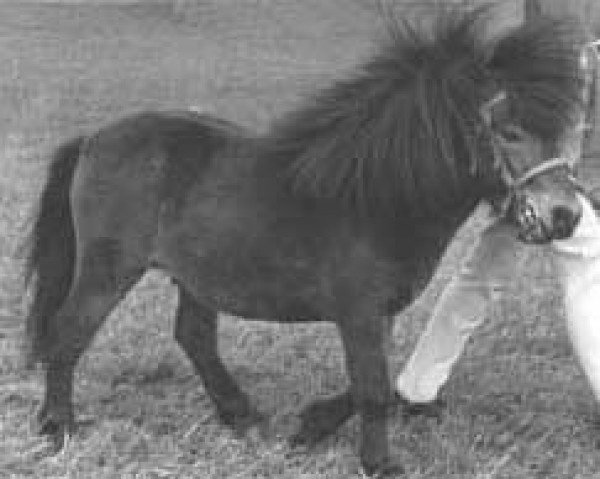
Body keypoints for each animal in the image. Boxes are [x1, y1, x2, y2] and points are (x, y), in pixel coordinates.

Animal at [24, 9, 596, 478]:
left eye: (562, 129)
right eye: (509, 130)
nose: (564, 215)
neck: (379, 197)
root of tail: (93, 138)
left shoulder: (378, 313)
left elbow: (379, 380)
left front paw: (311, 426)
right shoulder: (358, 311)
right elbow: (373, 389)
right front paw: (380, 464)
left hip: (196, 274)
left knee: (194, 338)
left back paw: (241, 415)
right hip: (110, 268)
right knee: (68, 332)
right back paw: (58, 427)